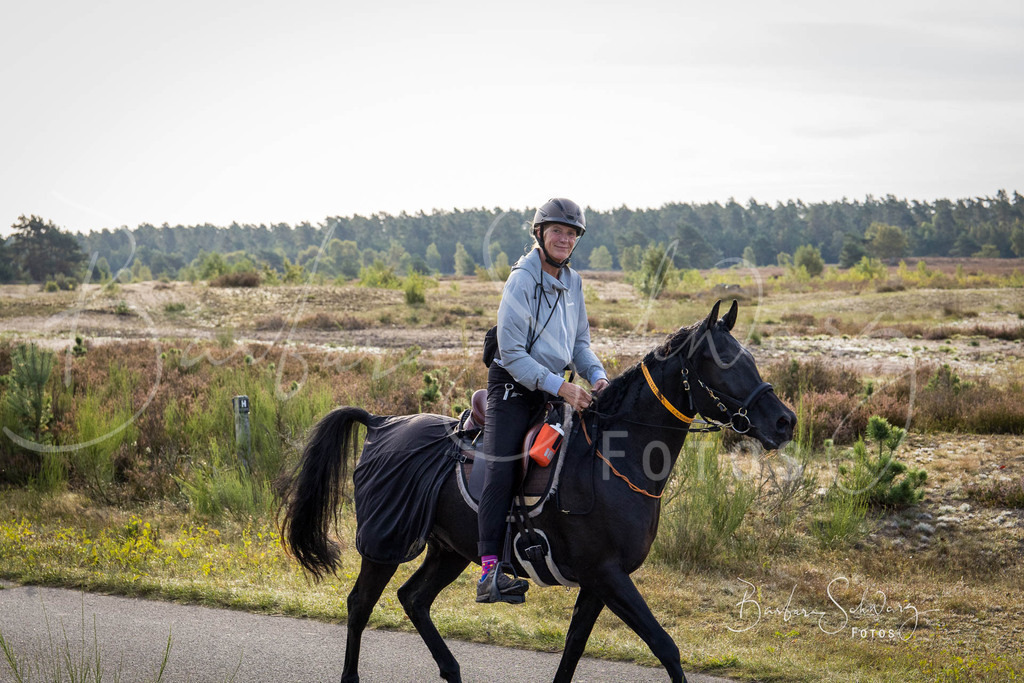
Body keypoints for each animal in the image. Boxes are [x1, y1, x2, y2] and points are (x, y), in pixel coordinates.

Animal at [279, 300, 796, 683]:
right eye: (725, 362)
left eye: (751, 357)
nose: (785, 421)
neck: (614, 457)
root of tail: (380, 422)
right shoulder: (608, 575)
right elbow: (666, 648)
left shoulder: (598, 581)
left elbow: (572, 651)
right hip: (385, 544)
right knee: (359, 605)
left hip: (449, 550)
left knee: (413, 599)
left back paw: (453, 670)